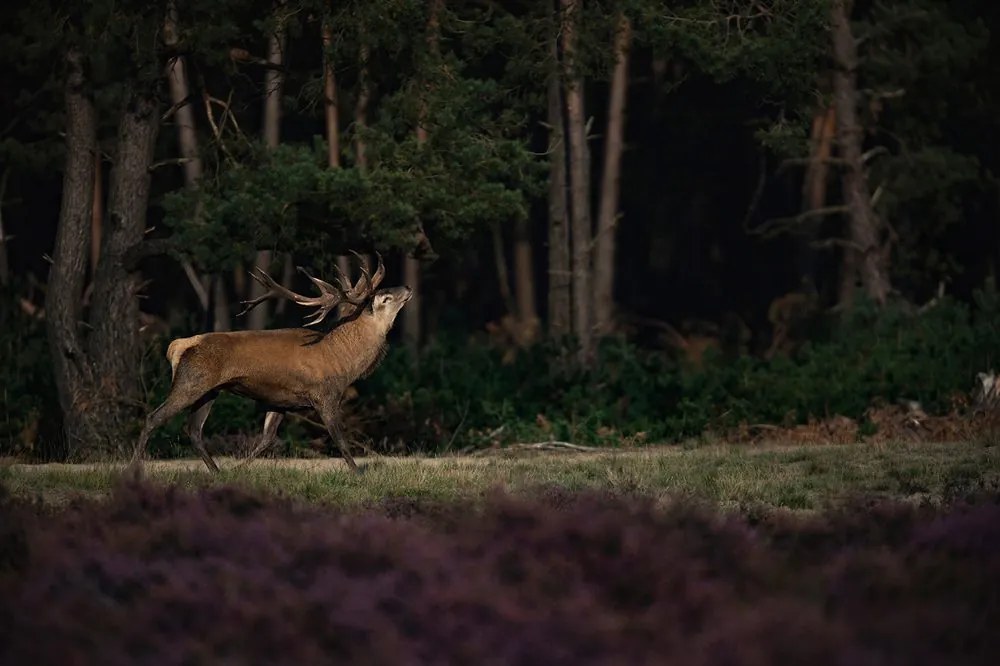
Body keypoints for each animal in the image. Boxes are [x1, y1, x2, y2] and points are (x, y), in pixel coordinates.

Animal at [133, 250, 410, 472]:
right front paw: (358, 473)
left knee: (194, 430)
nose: (407, 289)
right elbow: (340, 440)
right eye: (385, 297)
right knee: (153, 418)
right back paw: (134, 467)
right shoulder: (325, 395)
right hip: (191, 381)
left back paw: (217, 472)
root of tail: (178, 346)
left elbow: (266, 439)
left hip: (209, 390)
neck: (343, 361)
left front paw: (239, 469)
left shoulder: (281, 400)